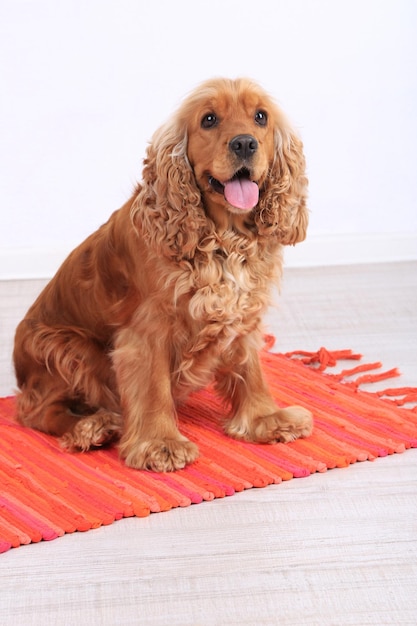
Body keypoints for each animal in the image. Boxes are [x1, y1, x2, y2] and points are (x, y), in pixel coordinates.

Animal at [13, 77, 312, 468]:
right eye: (209, 119)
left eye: (260, 116)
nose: (245, 142)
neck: (223, 240)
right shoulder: (147, 332)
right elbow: (153, 390)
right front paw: (160, 444)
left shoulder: (243, 314)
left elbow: (250, 370)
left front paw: (266, 418)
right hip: (68, 348)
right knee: (36, 411)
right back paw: (92, 428)